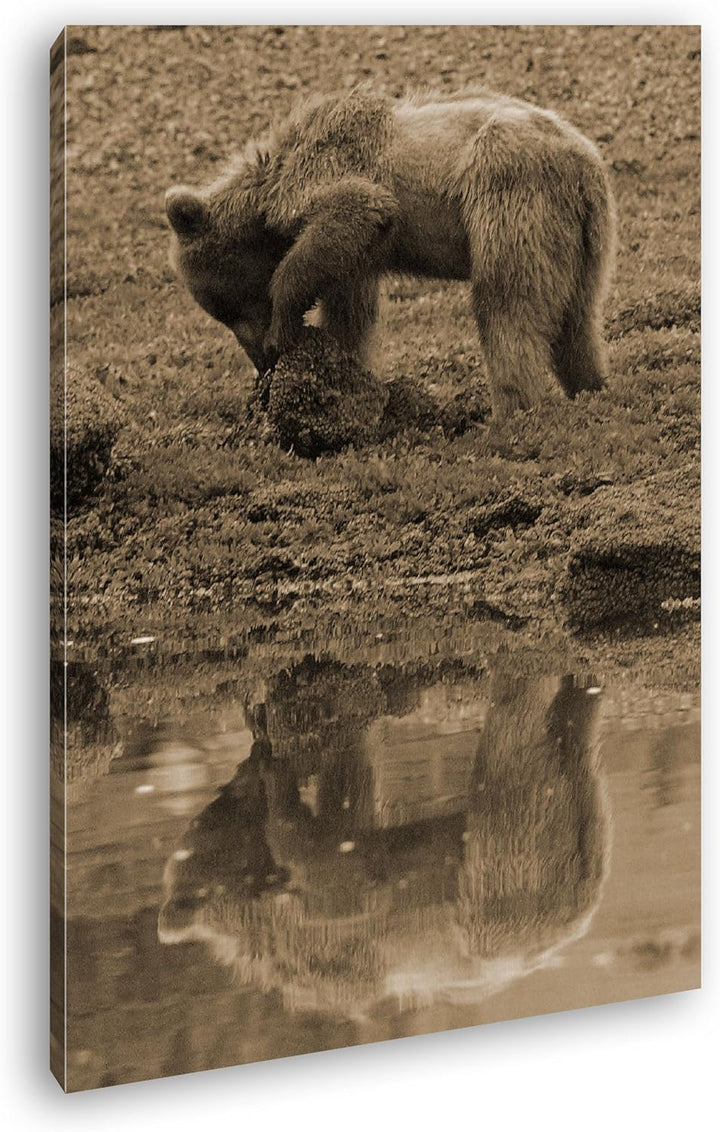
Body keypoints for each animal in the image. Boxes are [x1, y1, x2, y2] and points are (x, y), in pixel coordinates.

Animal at [166, 88, 616, 419]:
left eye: (233, 306)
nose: (261, 360)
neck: (267, 190)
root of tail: (584, 163)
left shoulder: (326, 171)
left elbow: (360, 205)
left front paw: (284, 328)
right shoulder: (359, 257)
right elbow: (350, 311)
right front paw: (346, 377)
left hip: (510, 193)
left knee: (506, 303)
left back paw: (511, 409)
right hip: (585, 239)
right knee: (576, 318)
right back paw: (590, 386)